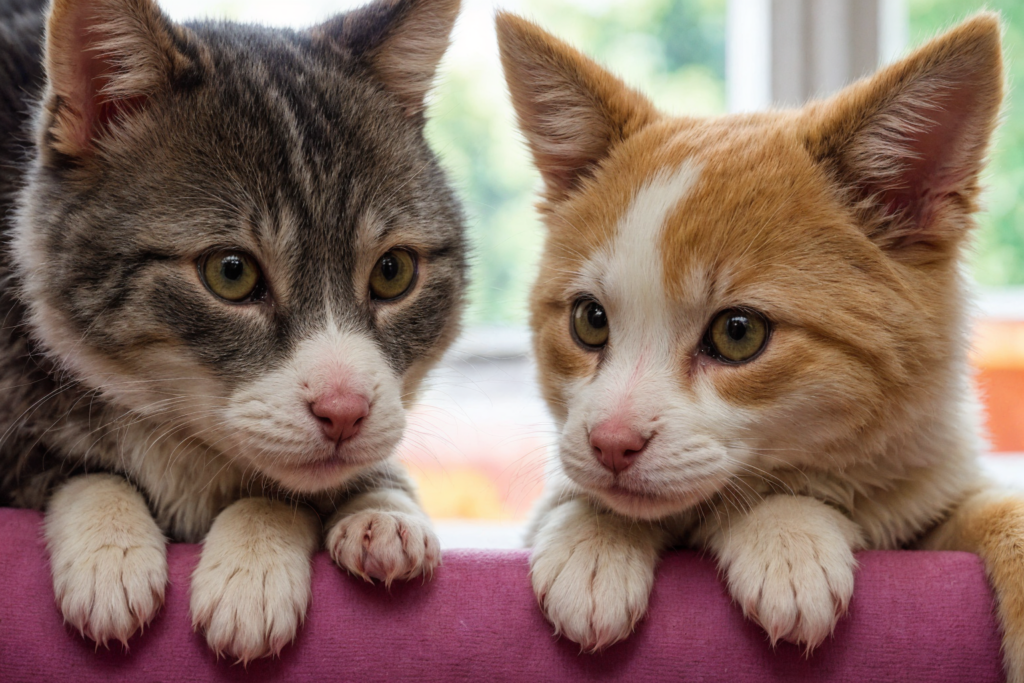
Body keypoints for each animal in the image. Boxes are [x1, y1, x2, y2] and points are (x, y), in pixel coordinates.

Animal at [0, 0, 464, 663]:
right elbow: (77, 471)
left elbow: (294, 484)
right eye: (231, 273)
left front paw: (368, 511)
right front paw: (111, 547)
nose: (344, 409)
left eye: (393, 271)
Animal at [495, 7, 1024, 679]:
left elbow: (1000, 511)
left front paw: (783, 527)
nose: (611, 442)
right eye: (590, 320)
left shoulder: (939, 484)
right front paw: (594, 532)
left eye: (737, 333)